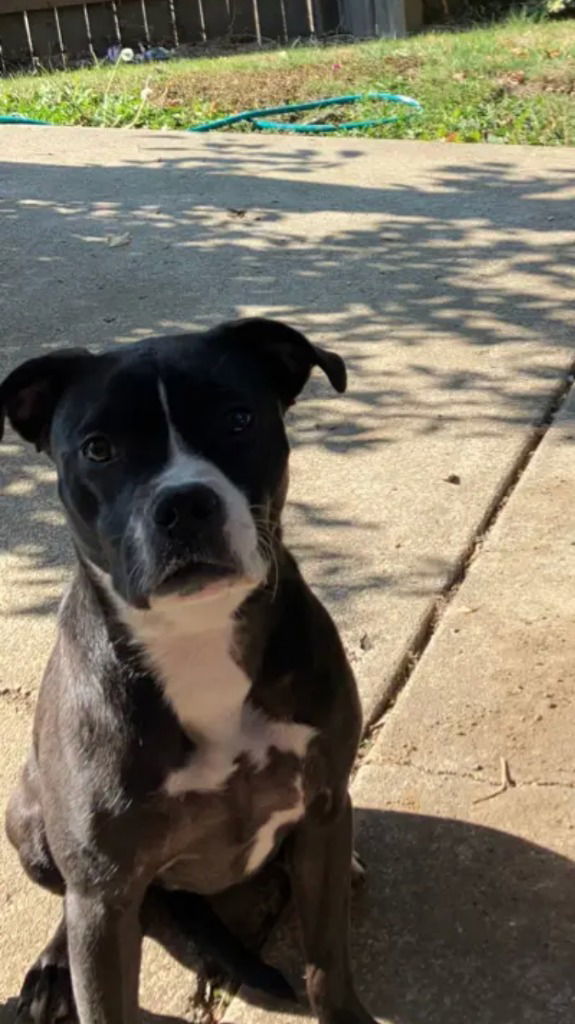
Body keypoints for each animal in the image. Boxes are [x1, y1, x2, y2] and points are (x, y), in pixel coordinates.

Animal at [2, 317, 376, 1024]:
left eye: (238, 418)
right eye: (98, 448)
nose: (184, 503)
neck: (197, 635)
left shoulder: (320, 808)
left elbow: (328, 960)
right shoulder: (106, 897)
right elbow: (105, 996)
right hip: (31, 824)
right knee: (67, 898)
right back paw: (53, 968)